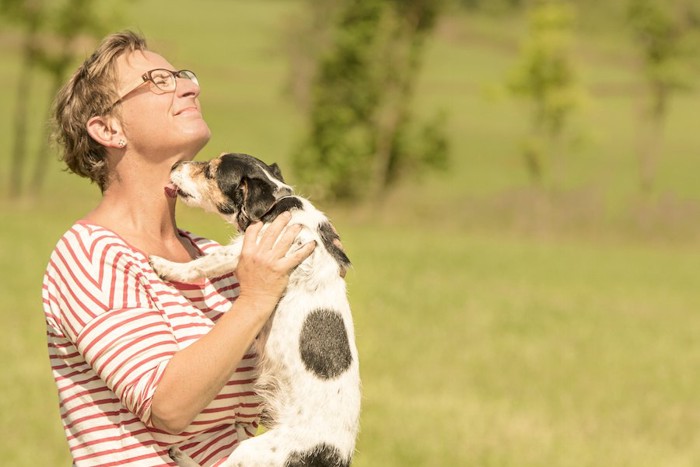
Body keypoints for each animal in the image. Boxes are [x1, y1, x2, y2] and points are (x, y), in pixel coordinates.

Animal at [151, 154, 364, 467]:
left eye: (211, 172)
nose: (175, 166)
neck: (274, 205)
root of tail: (334, 458)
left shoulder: (240, 251)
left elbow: (199, 265)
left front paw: (165, 266)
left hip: (257, 452)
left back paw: (181, 455)